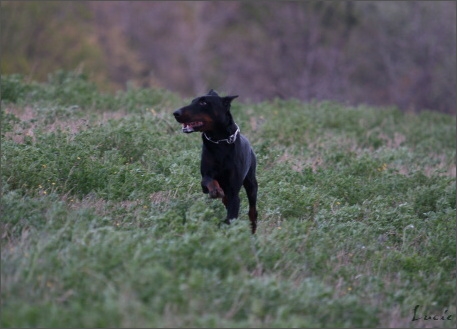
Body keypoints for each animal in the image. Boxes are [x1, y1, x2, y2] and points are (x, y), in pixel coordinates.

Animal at [172, 89, 258, 233]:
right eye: (193, 101)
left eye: (203, 102)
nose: (175, 113)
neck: (219, 142)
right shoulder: (205, 180)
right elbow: (209, 181)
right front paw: (215, 190)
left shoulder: (234, 192)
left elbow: (231, 216)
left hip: (251, 183)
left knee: (252, 210)